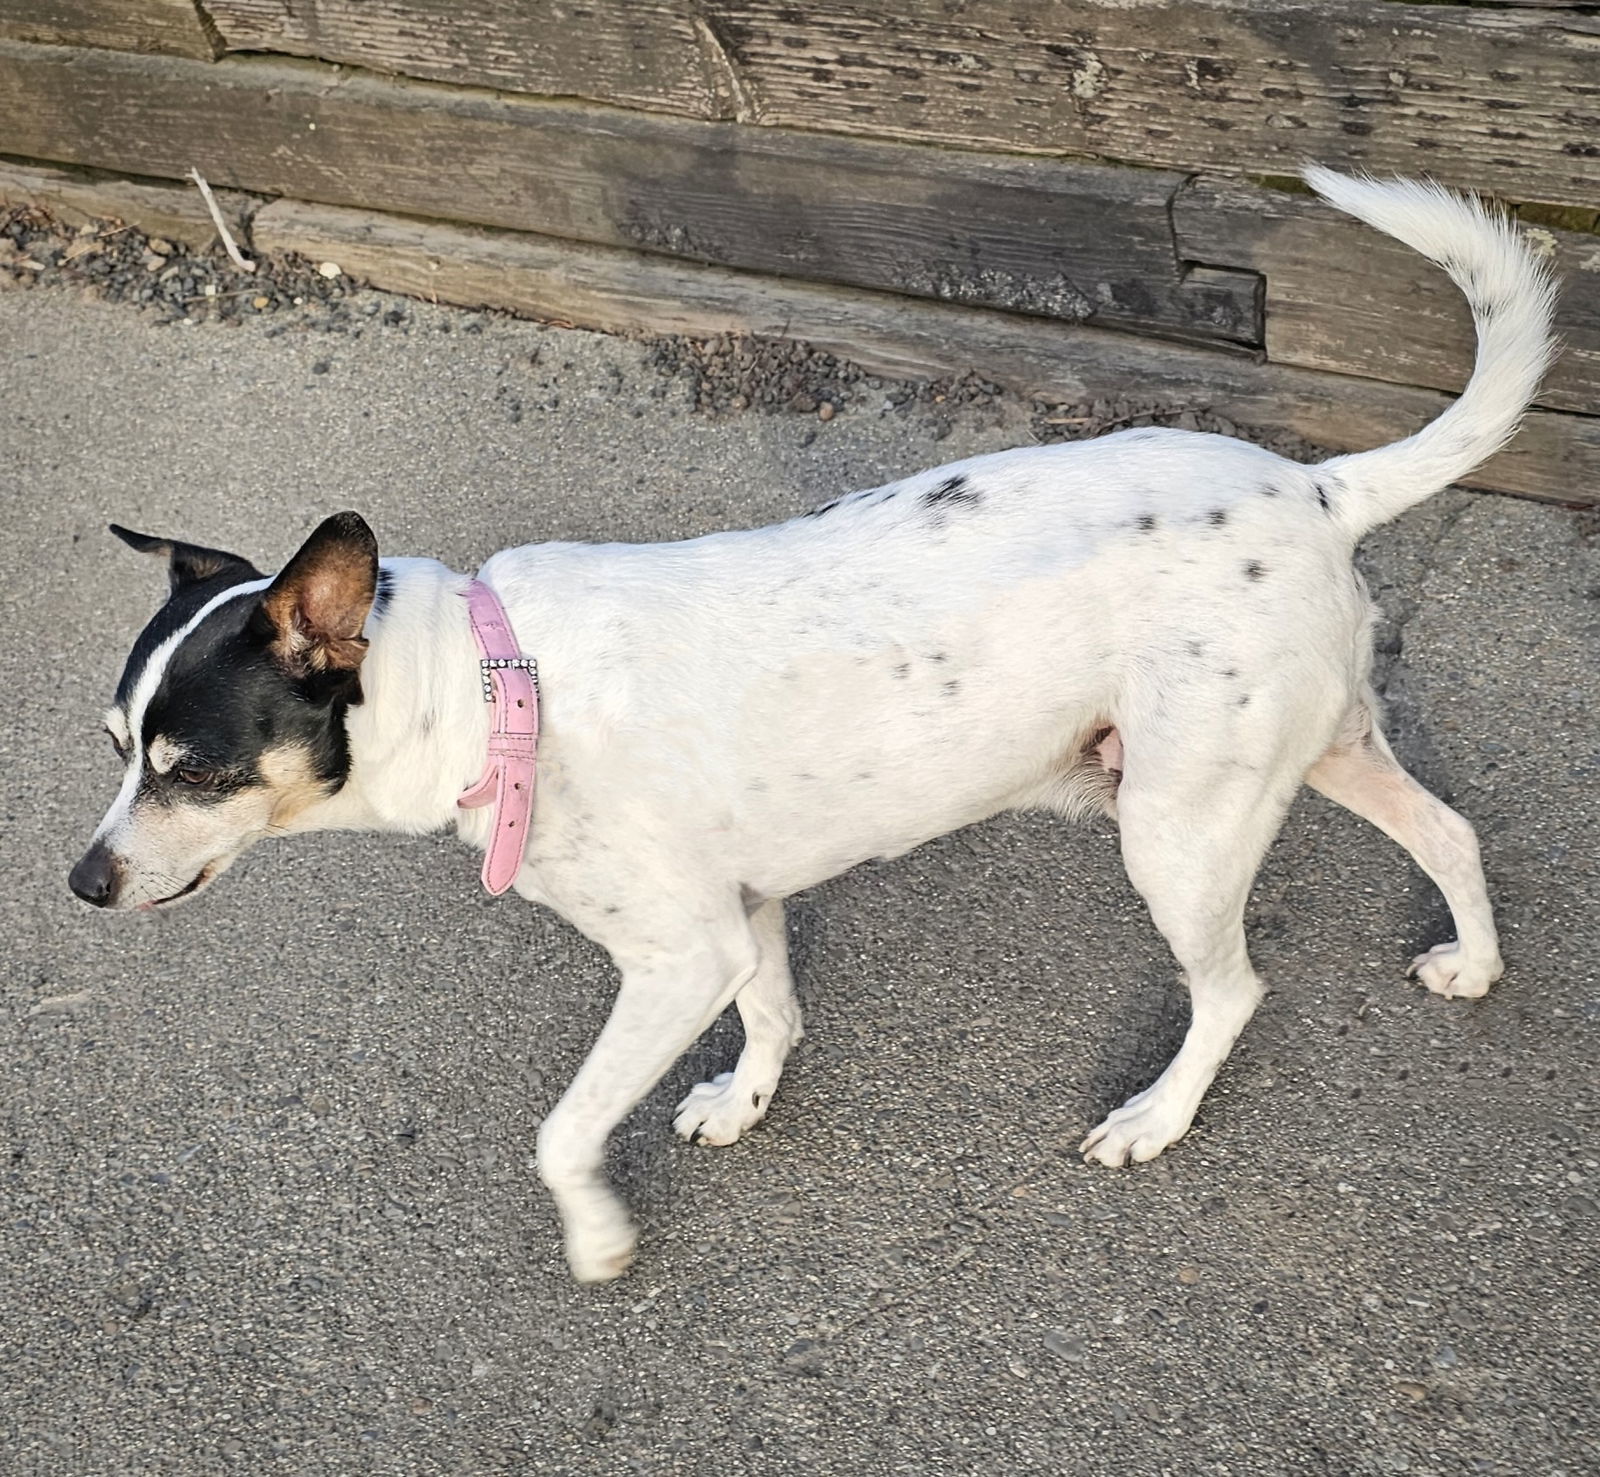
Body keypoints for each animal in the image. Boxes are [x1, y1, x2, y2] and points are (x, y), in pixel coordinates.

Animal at [72, 167, 1548, 1280]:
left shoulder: (672, 957)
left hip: (1177, 833)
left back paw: (1155, 1117)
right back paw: (1472, 964)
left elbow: (561, 1131)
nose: (82, 882)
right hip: (1306, 751)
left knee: (1234, 989)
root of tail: (1317, 486)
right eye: (113, 747)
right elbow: (772, 1011)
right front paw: (744, 1099)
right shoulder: (740, 913)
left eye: (191, 765)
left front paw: (598, 1236)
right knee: (1454, 834)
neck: (494, 683)